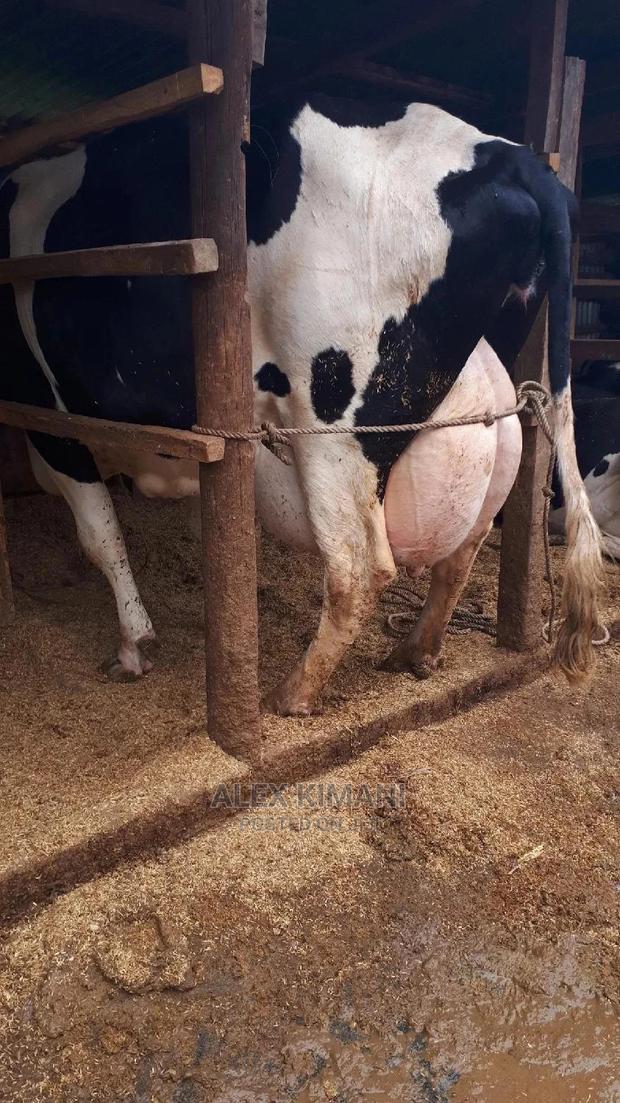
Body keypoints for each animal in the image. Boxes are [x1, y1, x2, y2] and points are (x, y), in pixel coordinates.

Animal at [0, 97, 603, 715]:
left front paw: (135, 645)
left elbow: (101, 534)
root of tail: (511, 156)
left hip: (333, 426)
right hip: (492, 423)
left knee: (357, 570)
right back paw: (413, 652)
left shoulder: (45, 413)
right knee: (463, 553)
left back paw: (291, 693)